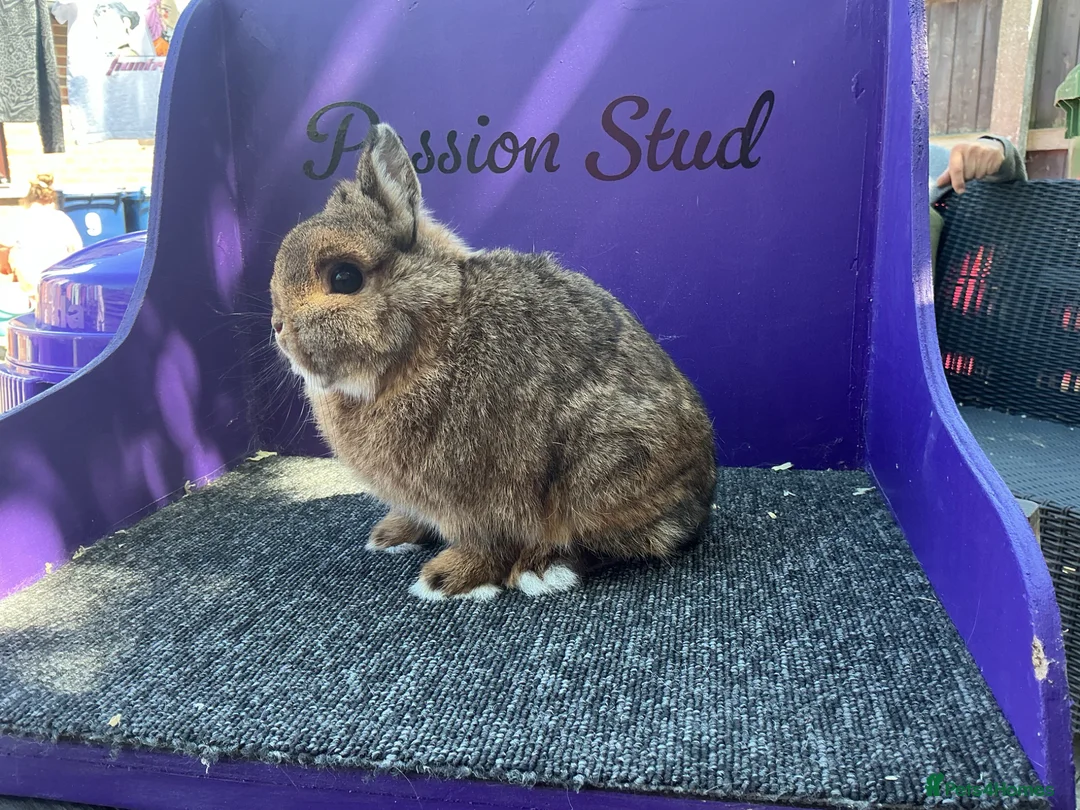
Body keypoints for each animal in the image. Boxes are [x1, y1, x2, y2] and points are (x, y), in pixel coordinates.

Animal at [270, 122, 717, 601]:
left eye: (345, 277)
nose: (278, 326)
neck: (431, 334)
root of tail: (700, 503)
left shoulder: (479, 497)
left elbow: (487, 542)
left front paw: (445, 578)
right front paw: (393, 536)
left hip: (601, 473)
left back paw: (543, 568)